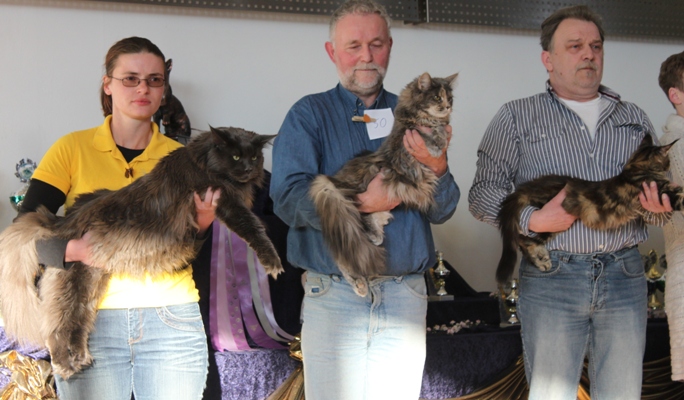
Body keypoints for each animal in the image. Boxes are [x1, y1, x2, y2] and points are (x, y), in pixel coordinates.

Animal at [0, 126, 282, 380]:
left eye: (254, 157)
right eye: (235, 157)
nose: (249, 169)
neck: (202, 160)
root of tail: (61, 223)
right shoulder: (226, 202)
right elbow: (255, 229)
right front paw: (273, 262)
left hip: (89, 290)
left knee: (78, 325)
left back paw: (81, 358)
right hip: (71, 287)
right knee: (56, 331)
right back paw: (65, 366)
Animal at [310, 72, 460, 296]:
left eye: (449, 98)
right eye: (436, 98)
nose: (448, 106)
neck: (426, 119)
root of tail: (332, 182)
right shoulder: (403, 144)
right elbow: (427, 136)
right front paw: (437, 142)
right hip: (348, 208)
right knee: (346, 253)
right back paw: (360, 283)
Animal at [496, 136, 684, 286]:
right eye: (667, 160)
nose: (669, 166)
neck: (636, 168)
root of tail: (530, 186)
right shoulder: (664, 192)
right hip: (548, 220)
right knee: (523, 239)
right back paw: (542, 262)